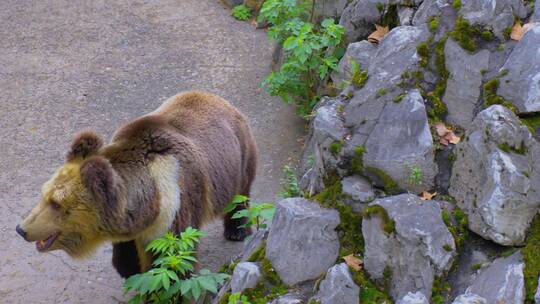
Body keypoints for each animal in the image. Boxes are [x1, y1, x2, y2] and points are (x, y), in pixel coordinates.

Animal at [13, 92, 256, 278]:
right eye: (44, 195)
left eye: (56, 203)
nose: (21, 229)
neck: (151, 198)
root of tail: (218, 99)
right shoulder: (133, 223)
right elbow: (127, 250)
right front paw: (130, 269)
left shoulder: (177, 201)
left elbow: (173, 257)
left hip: (239, 158)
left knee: (240, 197)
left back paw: (237, 231)